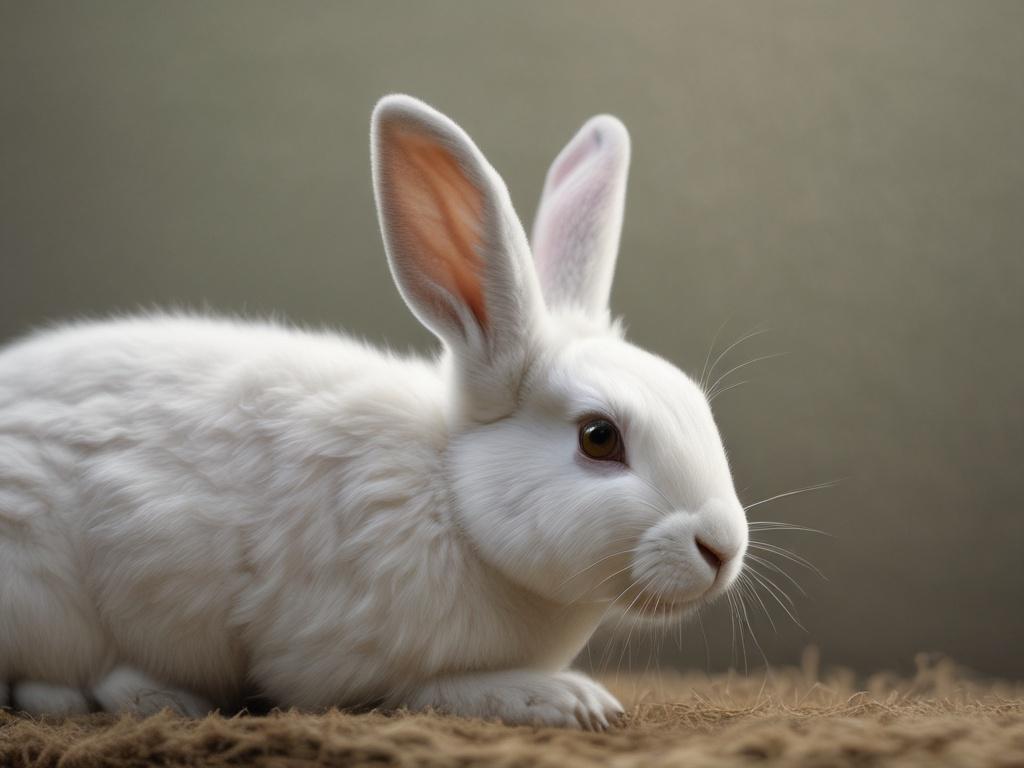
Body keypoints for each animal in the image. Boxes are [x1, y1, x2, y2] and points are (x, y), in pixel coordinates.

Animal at [0, 94, 748, 729]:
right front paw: (564, 699)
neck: (451, 497)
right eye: (598, 437)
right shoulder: (336, 662)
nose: (722, 548)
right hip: (44, 597)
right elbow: (424, 692)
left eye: (696, 402)